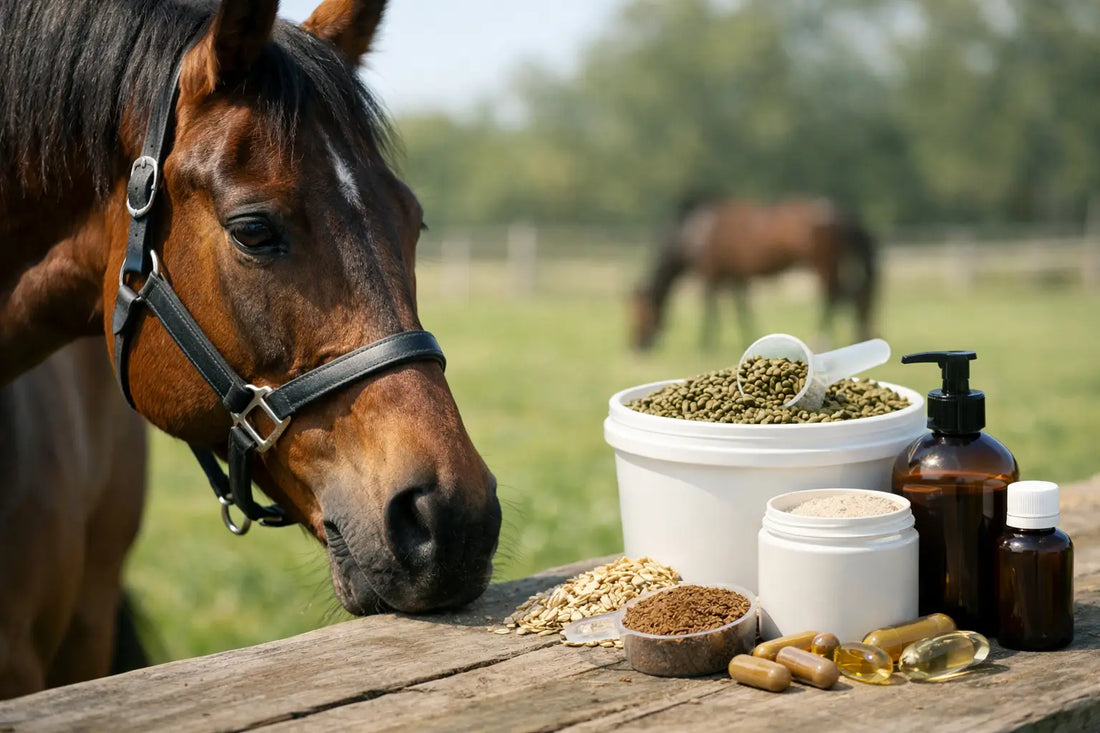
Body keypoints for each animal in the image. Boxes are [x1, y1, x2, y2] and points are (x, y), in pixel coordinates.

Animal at [630, 197, 879, 351]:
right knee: (853, 295)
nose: (636, 346)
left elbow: (710, 307)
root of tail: (840, 213)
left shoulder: (711, 274)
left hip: (822, 263)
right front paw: (751, 338)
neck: (696, 233)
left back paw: (821, 340)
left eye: (639, 312)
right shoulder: (735, 276)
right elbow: (741, 309)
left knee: (834, 296)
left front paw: (705, 343)